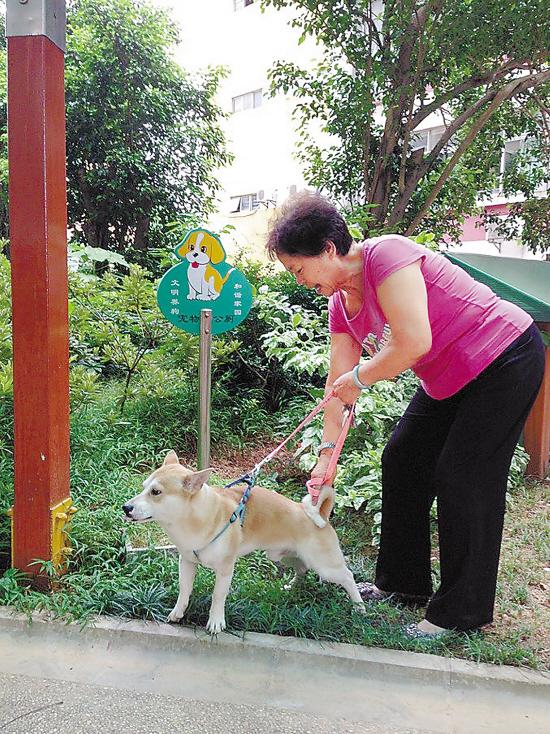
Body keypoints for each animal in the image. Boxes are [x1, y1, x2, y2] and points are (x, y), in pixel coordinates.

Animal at [124, 452, 366, 636]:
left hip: (325, 566)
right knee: (302, 568)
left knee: (347, 576)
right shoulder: (187, 562)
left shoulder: (225, 569)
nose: (126, 507)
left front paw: (216, 622)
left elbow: (218, 596)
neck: (196, 519)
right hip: (283, 555)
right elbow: (185, 590)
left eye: (156, 492)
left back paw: (359, 607)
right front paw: (178, 612)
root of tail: (319, 516)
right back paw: (293, 587)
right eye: (143, 487)